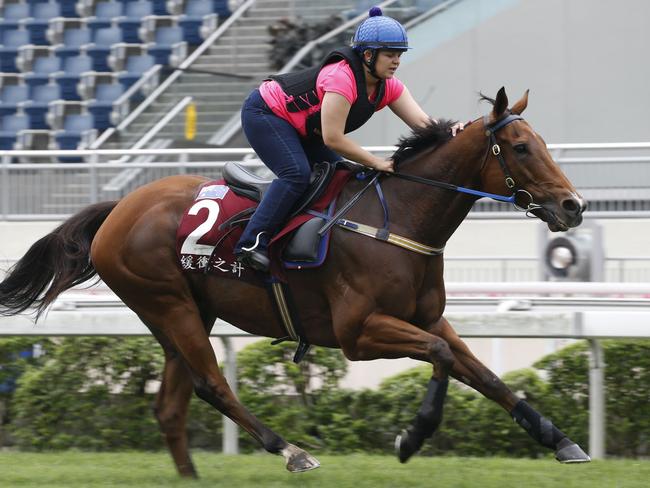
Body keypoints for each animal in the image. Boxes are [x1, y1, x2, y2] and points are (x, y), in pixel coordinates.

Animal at [0, 88, 588, 476]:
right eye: (520, 148)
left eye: (540, 142)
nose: (574, 206)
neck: (398, 217)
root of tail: (119, 208)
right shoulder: (358, 333)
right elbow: (442, 358)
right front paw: (411, 437)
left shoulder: (427, 318)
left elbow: (483, 375)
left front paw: (561, 441)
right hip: (169, 304)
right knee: (211, 384)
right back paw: (291, 450)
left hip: (184, 312)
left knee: (172, 404)